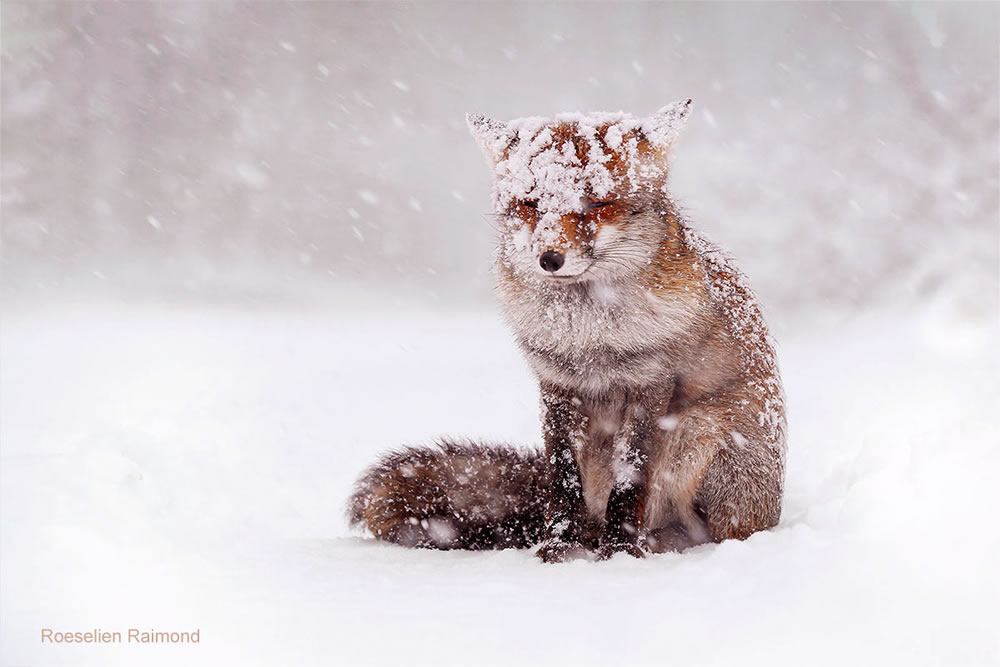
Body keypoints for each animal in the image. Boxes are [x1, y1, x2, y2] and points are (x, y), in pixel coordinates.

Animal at [352, 100, 788, 564]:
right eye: (530, 203)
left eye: (597, 203)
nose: (550, 258)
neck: (588, 337)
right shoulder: (556, 384)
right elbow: (562, 477)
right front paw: (556, 549)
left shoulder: (651, 385)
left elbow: (630, 480)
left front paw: (621, 552)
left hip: (697, 432)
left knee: (702, 527)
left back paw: (659, 543)